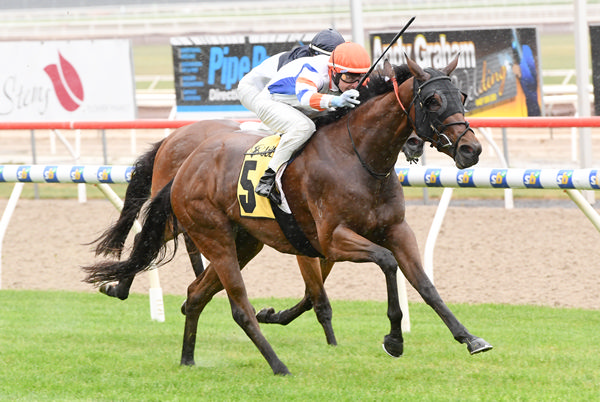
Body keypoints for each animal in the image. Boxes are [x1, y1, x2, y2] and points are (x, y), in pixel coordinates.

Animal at [84, 58, 490, 376]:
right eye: (432, 100)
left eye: (462, 97)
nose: (471, 149)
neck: (357, 156)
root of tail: (186, 165)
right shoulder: (331, 239)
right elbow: (386, 264)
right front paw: (393, 338)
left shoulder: (396, 230)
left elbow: (425, 285)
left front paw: (469, 337)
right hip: (210, 233)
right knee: (229, 300)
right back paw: (276, 364)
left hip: (243, 243)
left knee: (196, 293)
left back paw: (188, 358)